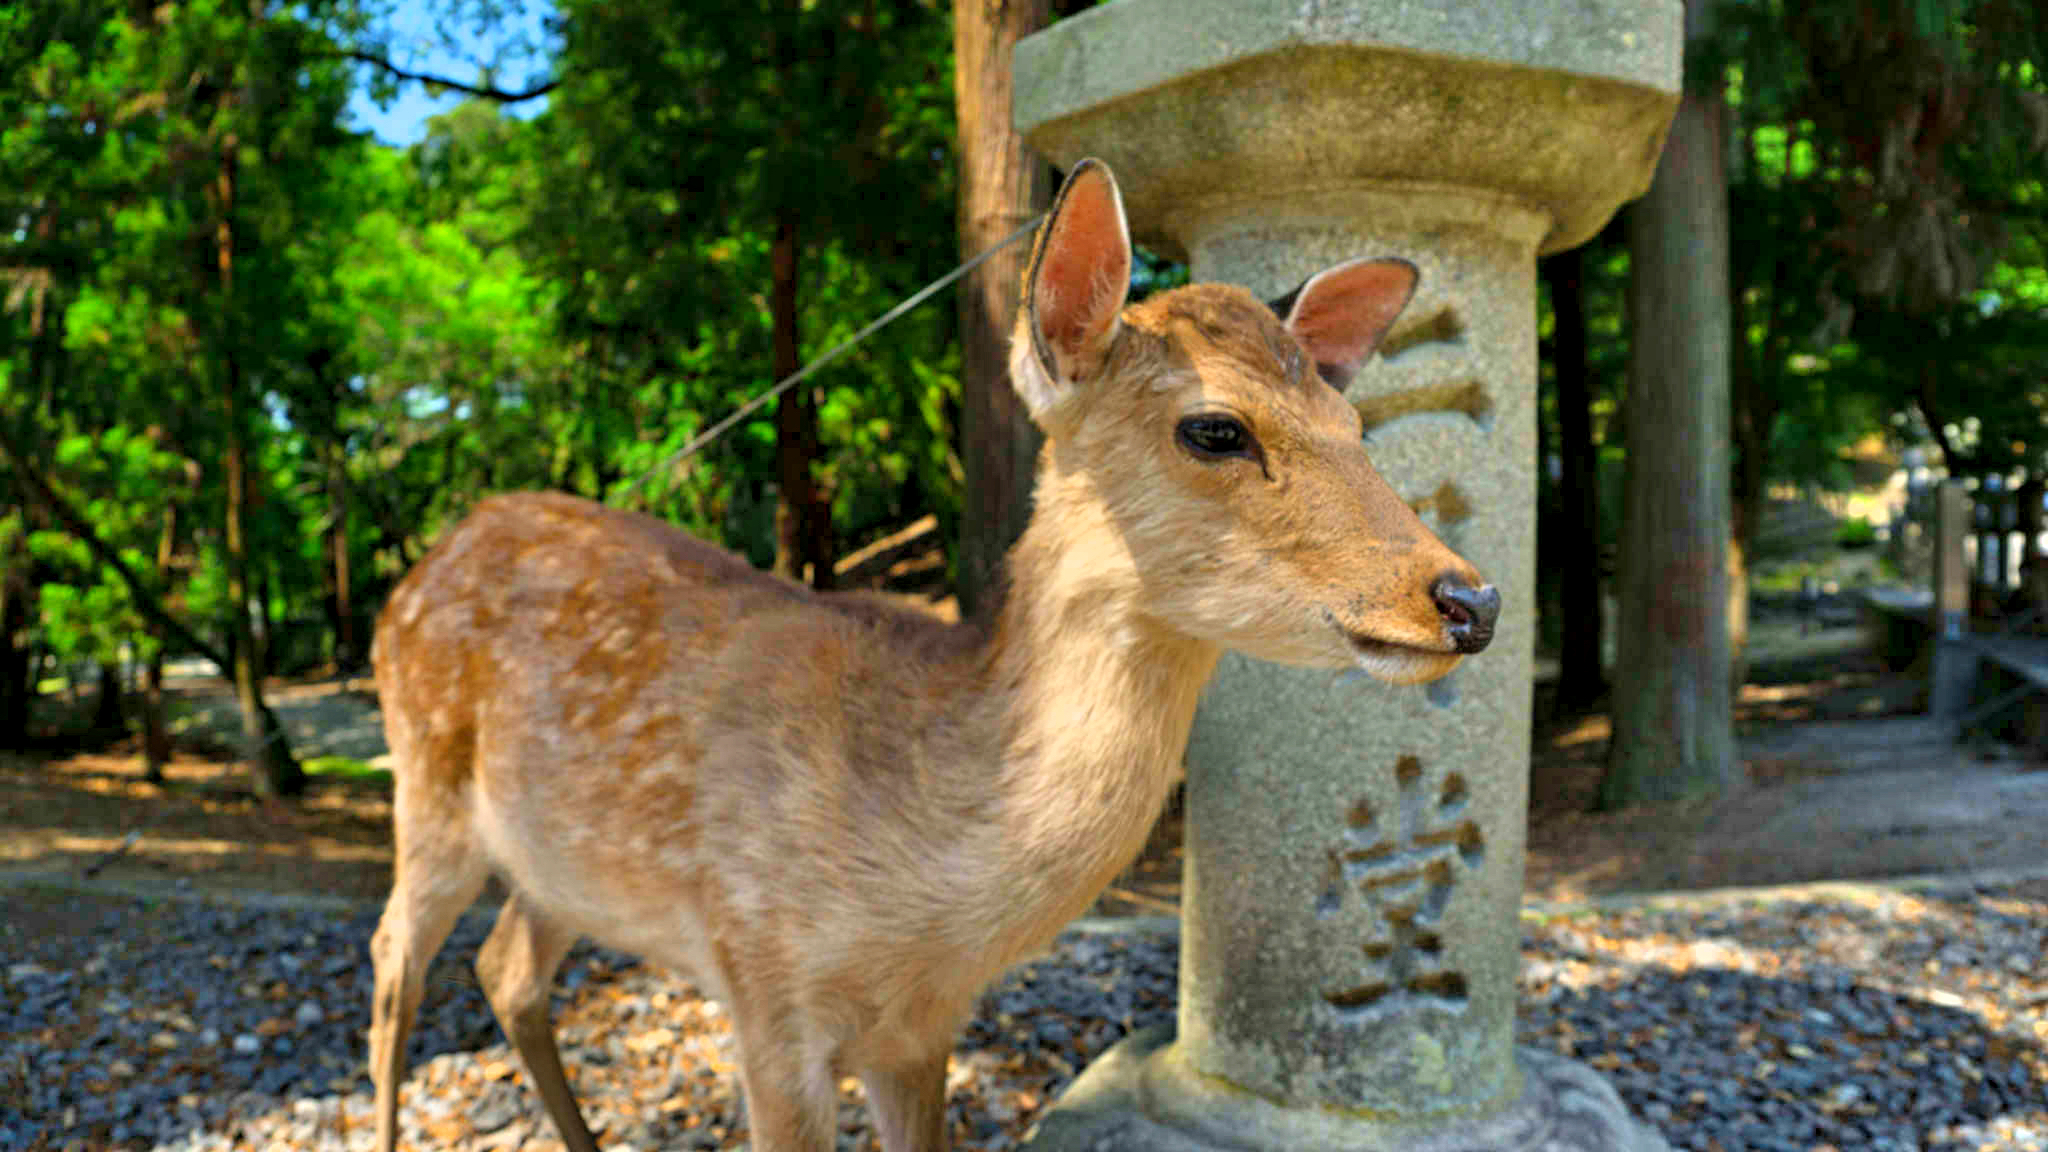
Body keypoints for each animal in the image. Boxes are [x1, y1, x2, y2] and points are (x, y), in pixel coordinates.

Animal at [368, 158, 1499, 1147]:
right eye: (1215, 428)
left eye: (1352, 422)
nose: (1470, 598)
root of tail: (422, 567)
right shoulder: (764, 982)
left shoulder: (920, 1031)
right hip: (425, 786)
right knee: (395, 961)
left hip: (559, 863)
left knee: (505, 969)